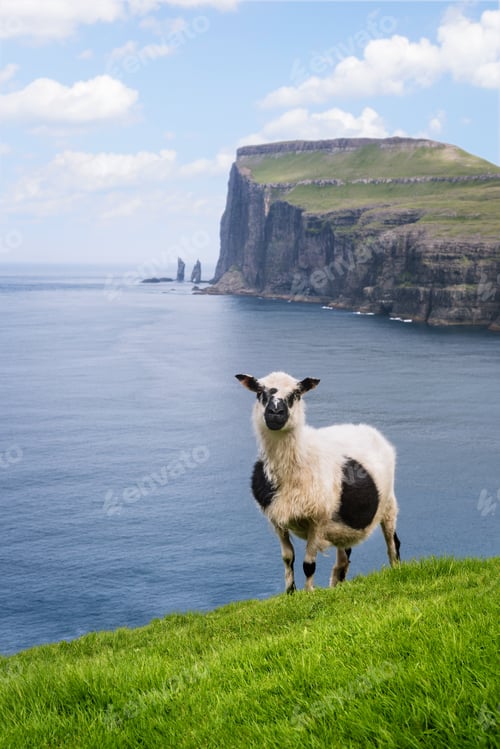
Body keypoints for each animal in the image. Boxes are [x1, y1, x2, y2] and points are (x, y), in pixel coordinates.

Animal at [235, 371, 401, 593]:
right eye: (260, 392)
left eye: (296, 394)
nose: (275, 412)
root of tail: (367, 429)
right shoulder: (277, 520)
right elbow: (287, 558)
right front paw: (290, 593)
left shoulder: (318, 520)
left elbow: (308, 565)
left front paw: (308, 593)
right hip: (344, 524)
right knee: (343, 559)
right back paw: (337, 586)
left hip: (388, 503)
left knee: (392, 542)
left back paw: (395, 570)